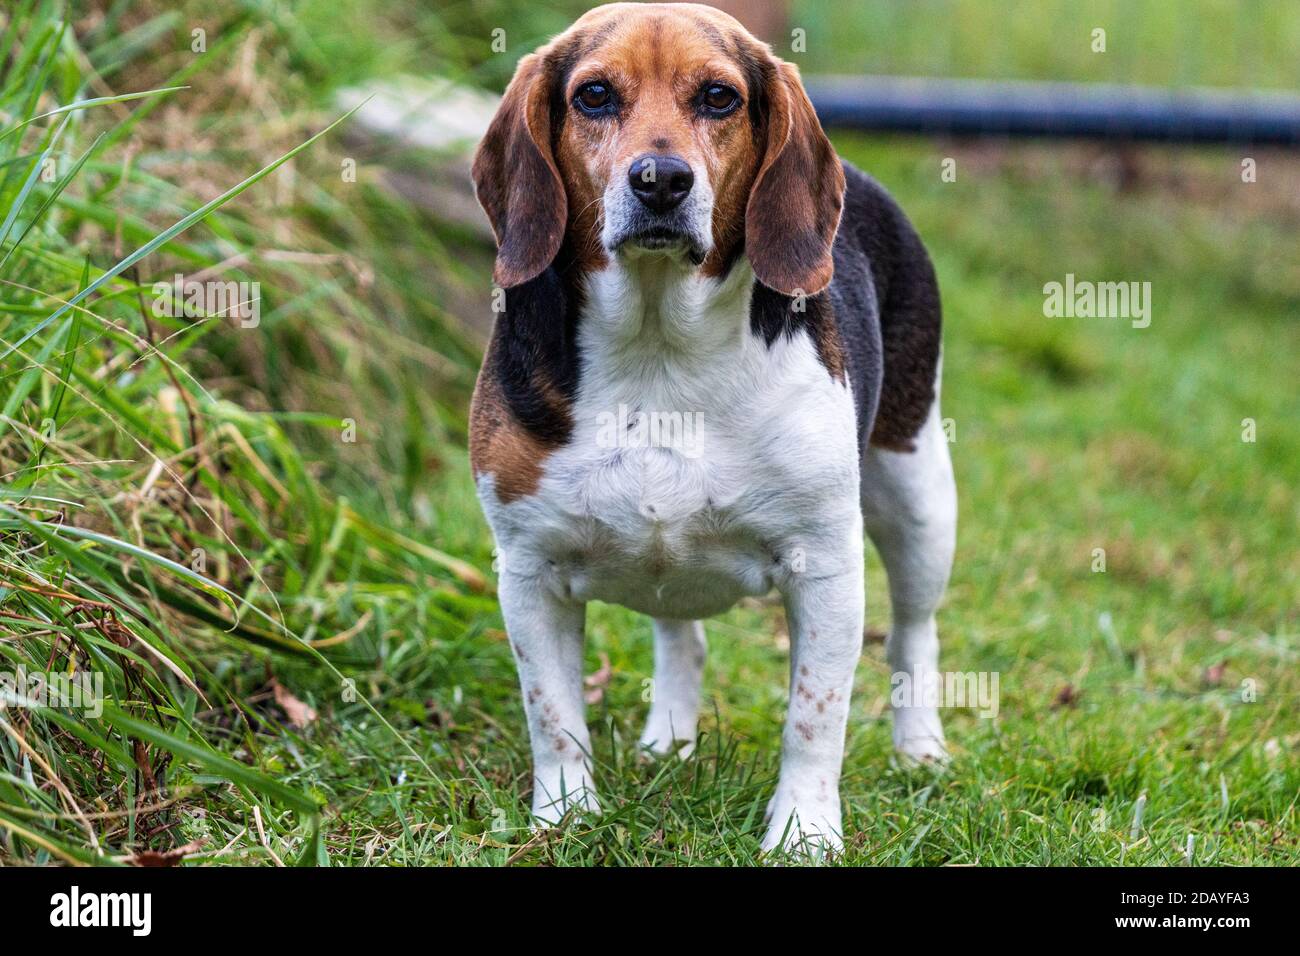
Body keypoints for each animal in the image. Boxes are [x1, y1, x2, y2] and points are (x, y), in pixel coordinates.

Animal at [467, 1, 956, 858]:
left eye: (719, 97)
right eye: (594, 95)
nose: (660, 180)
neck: (660, 351)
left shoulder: (826, 567)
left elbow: (814, 720)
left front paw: (803, 833)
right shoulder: (527, 570)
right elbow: (553, 717)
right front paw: (565, 820)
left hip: (919, 492)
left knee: (912, 634)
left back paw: (919, 750)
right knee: (681, 637)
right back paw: (670, 740)